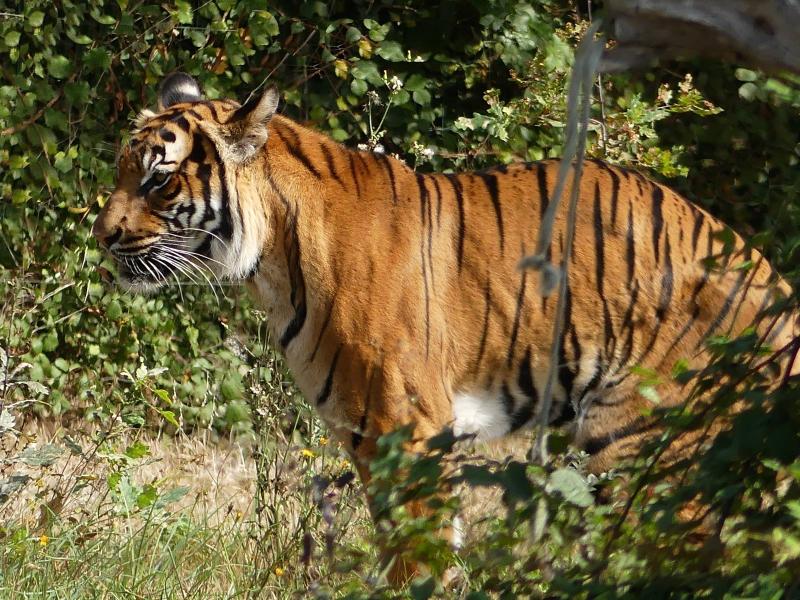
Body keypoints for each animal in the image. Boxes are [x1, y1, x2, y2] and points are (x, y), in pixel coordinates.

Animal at [92, 72, 799, 581]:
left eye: (157, 181)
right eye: (123, 171)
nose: (101, 236)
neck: (271, 260)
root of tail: (777, 286)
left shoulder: (405, 427)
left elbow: (417, 555)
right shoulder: (367, 435)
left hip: (639, 445)